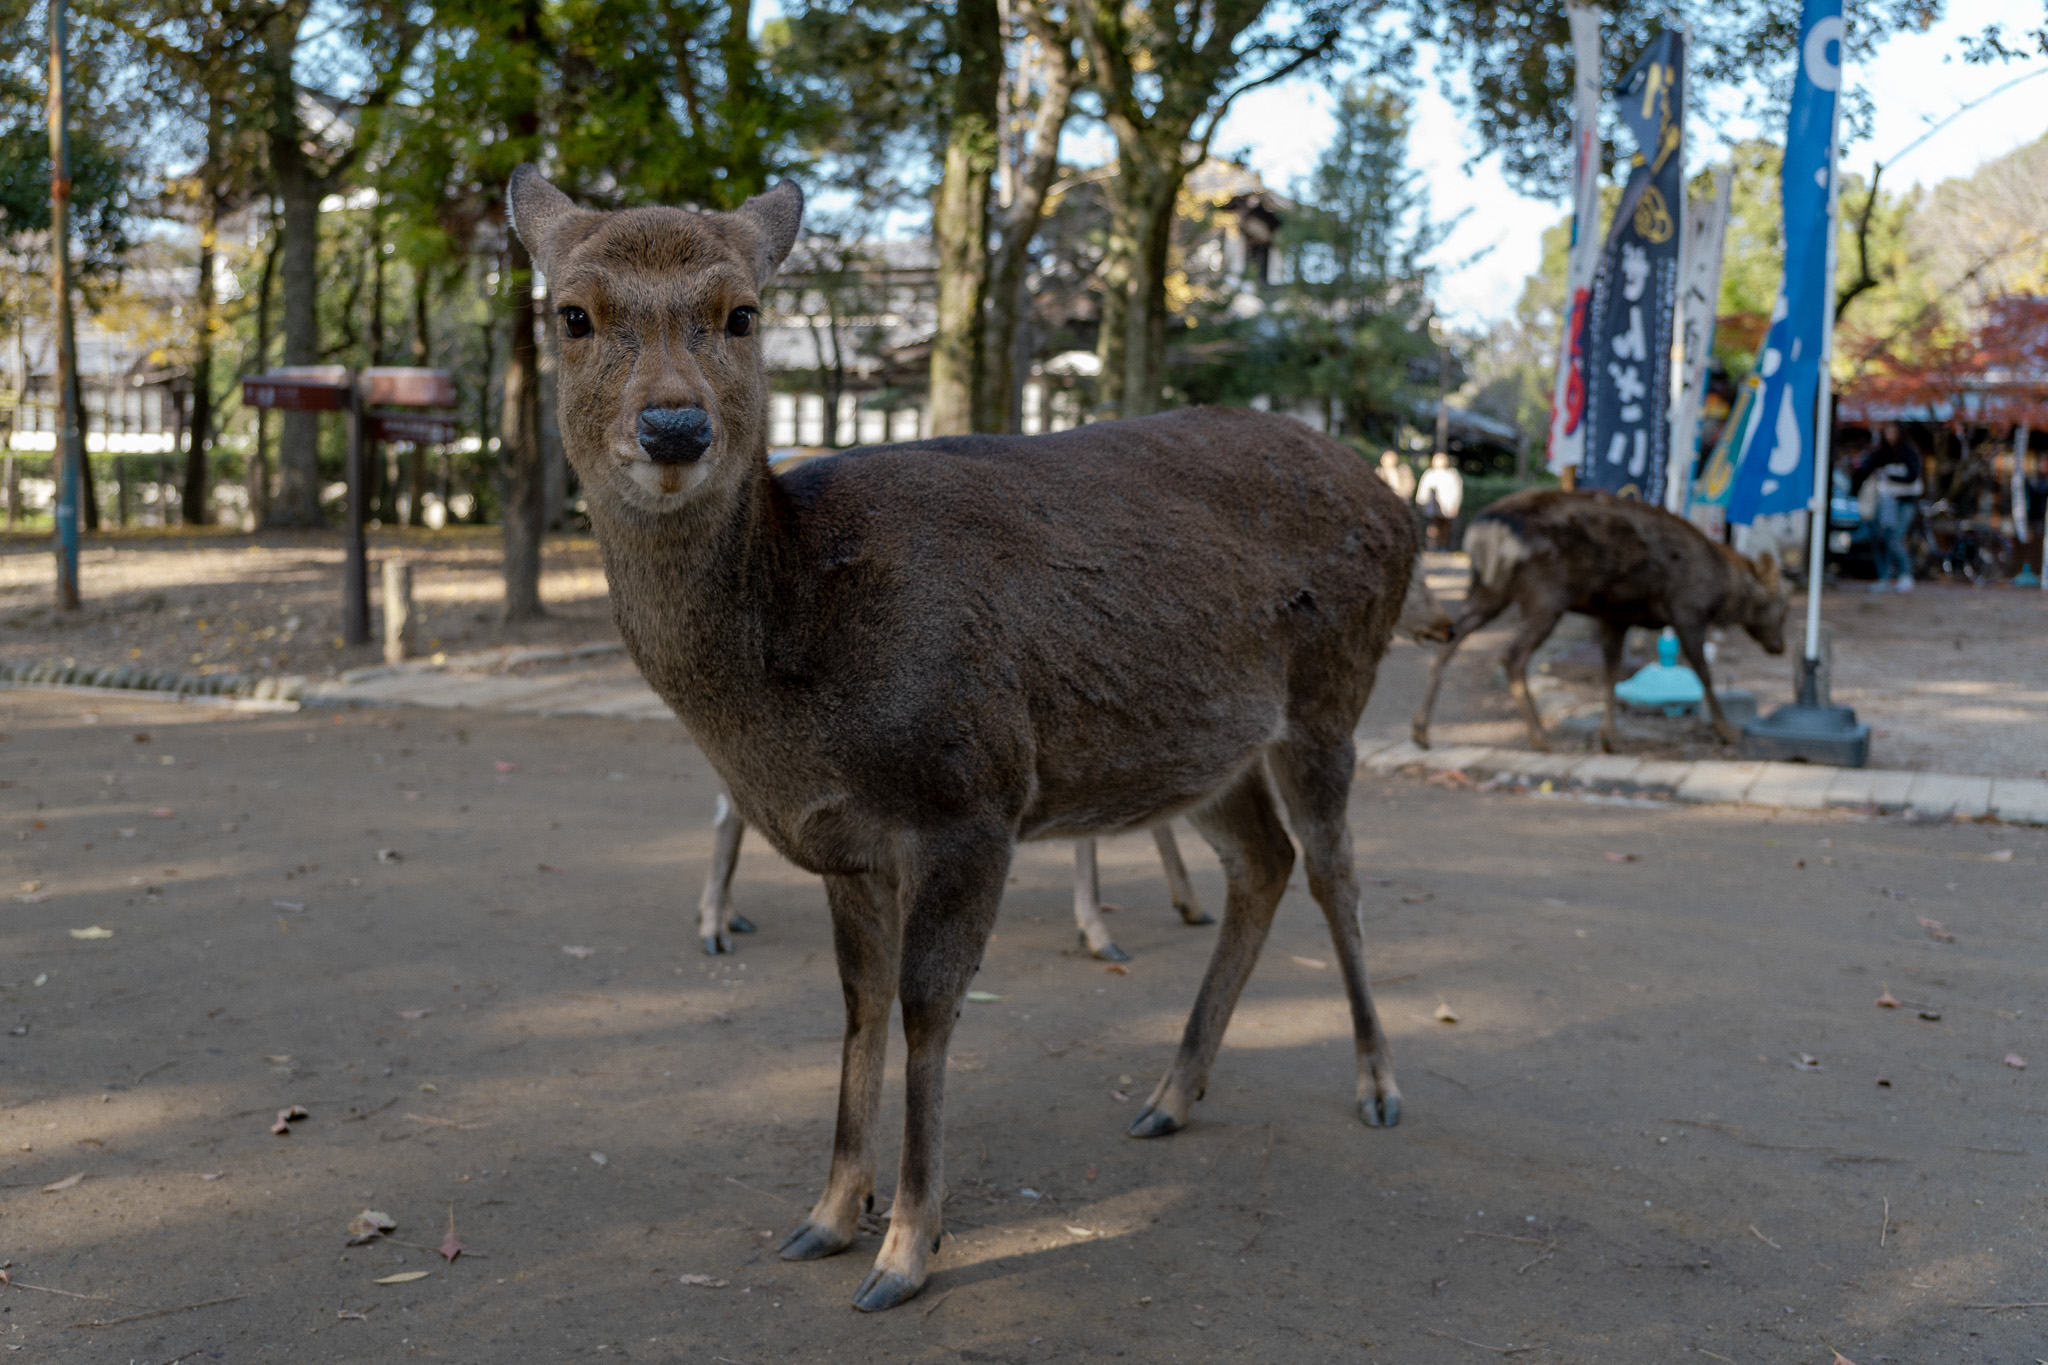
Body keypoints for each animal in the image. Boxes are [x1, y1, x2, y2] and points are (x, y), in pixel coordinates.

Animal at [696, 571, 1451, 959]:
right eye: (1420, 578)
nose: (1445, 624)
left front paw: (1184, 900)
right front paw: (1100, 929)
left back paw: (727, 916)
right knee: (729, 801)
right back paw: (713, 922)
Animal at [1410, 488, 1789, 754]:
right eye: (1781, 603)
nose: (1780, 647)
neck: (1722, 593)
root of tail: (1485, 530)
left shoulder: (1614, 616)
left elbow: (1612, 673)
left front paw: (1609, 737)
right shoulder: (1688, 611)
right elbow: (1704, 675)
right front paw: (1726, 732)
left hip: (1488, 590)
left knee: (1450, 640)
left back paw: (1421, 731)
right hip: (1545, 595)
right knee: (1512, 656)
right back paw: (1539, 737)